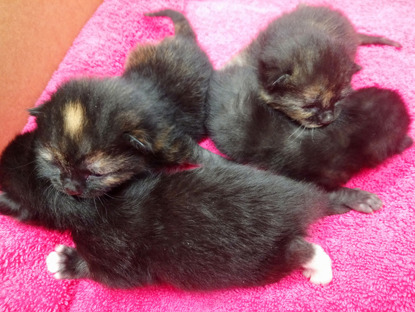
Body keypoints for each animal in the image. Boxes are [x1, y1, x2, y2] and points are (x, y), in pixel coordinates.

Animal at [0, 130, 384, 290]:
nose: (10, 144)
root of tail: (297, 205)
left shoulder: (115, 256)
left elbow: (105, 274)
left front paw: (65, 262)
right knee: (319, 196)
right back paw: (352, 198)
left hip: (261, 262)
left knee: (302, 248)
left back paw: (318, 268)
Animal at [29, 11, 214, 199]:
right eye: (55, 163)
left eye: (96, 174)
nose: (70, 188)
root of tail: (182, 39)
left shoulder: (167, 139)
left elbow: (195, 153)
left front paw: (216, 161)